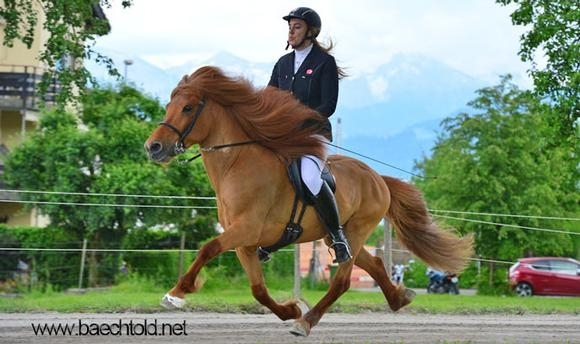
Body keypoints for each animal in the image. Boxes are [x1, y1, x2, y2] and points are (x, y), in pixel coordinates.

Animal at [143, 66, 474, 338]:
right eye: (169, 106)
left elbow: (208, 248)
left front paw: (177, 293)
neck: (237, 165)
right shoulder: (244, 243)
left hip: (356, 229)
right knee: (375, 263)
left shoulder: (246, 230)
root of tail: (378, 178)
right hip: (337, 233)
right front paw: (289, 309)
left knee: (342, 281)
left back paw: (306, 322)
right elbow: (258, 289)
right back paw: (399, 298)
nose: (153, 147)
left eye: (187, 108)